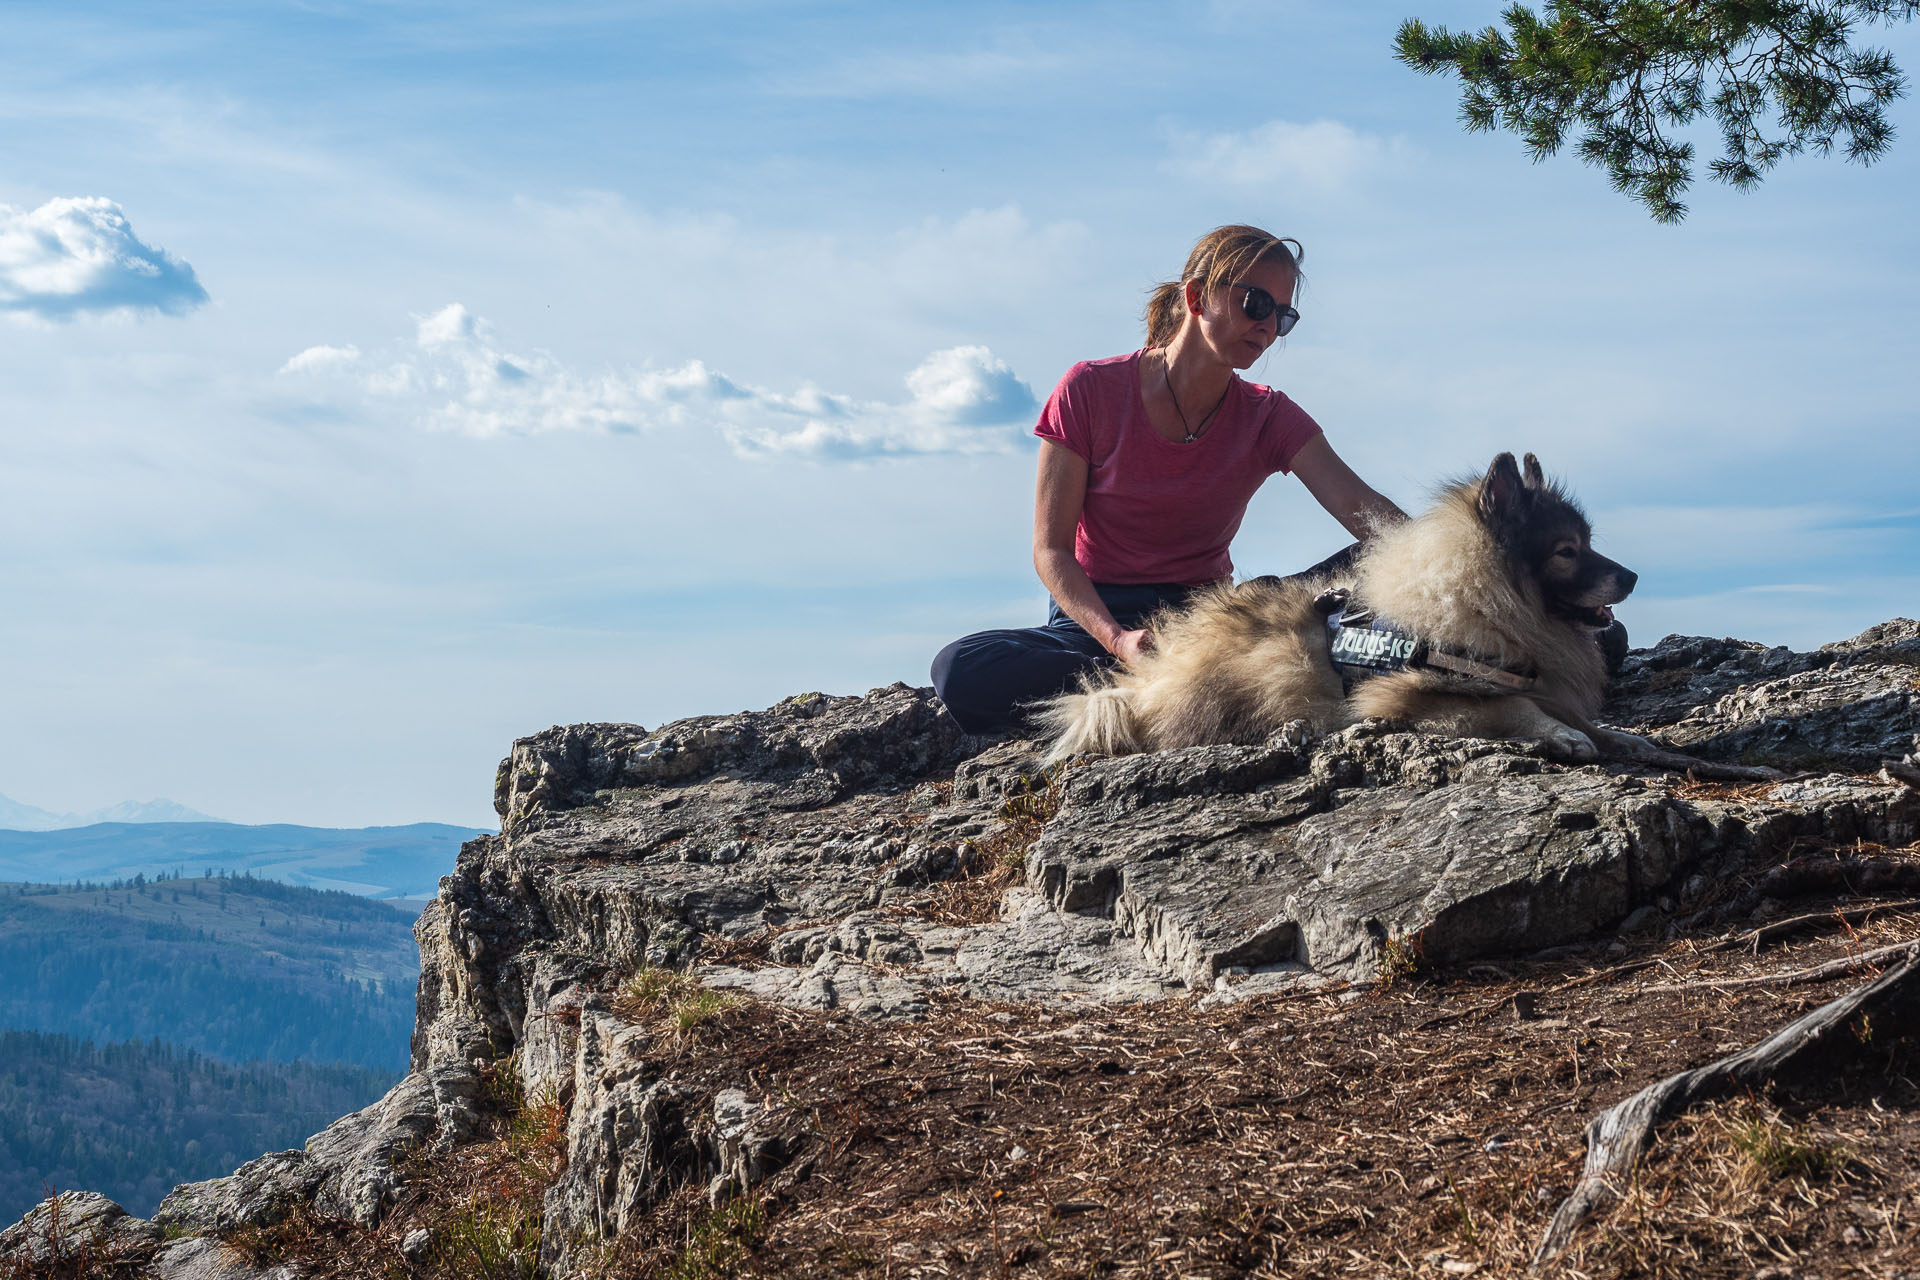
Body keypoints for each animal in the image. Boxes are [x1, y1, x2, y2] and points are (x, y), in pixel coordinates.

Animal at [1044, 452, 1643, 767]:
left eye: (1588, 543)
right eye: (1567, 552)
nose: (1633, 577)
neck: (1479, 601)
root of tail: (1145, 685)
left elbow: (1582, 717)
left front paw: (1623, 737)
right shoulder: (1410, 697)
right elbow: (1513, 708)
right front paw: (1563, 734)